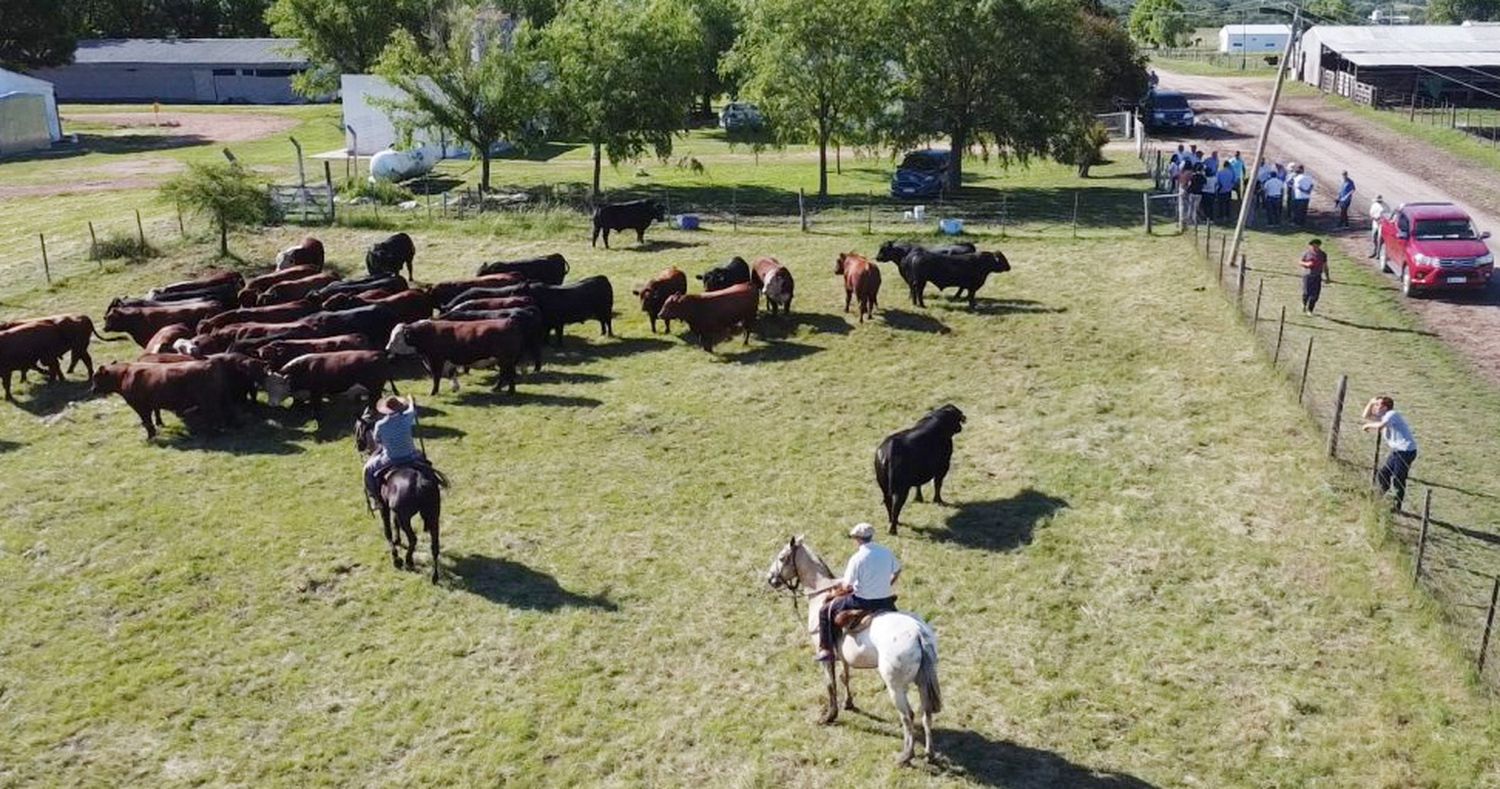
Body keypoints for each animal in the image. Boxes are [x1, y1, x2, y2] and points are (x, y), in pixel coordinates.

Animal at [352, 411, 444, 585]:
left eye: (357, 429)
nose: (359, 445)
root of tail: (419, 481)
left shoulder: (384, 507)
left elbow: (387, 530)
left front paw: (395, 557)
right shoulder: (394, 510)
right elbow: (394, 526)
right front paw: (398, 540)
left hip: (406, 517)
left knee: (413, 539)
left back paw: (408, 561)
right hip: (433, 514)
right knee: (434, 545)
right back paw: (434, 576)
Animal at [387, 319, 528, 396]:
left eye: (397, 337)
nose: (387, 348)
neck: (426, 334)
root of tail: (509, 321)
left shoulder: (436, 360)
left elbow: (436, 377)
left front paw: (433, 392)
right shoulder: (447, 361)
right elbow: (452, 374)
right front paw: (455, 387)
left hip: (506, 359)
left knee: (509, 374)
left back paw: (510, 391)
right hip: (503, 360)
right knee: (504, 373)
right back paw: (497, 388)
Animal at [768, 537, 942, 768]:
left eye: (782, 557)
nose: (770, 578)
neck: (820, 592)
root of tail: (918, 634)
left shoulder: (826, 657)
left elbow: (830, 683)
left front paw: (829, 716)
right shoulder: (843, 656)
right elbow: (845, 676)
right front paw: (848, 703)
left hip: (896, 687)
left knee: (908, 716)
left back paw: (906, 755)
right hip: (923, 682)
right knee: (926, 714)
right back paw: (929, 754)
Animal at [876, 408, 966, 537]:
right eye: (957, 418)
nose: (960, 427)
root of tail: (888, 451)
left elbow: (919, 485)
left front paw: (919, 498)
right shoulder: (943, 467)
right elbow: (937, 484)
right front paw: (938, 501)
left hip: (884, 487)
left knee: (889, 503)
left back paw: (893, 522)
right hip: (901, 489)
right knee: (896, 506)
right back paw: (893, 529)